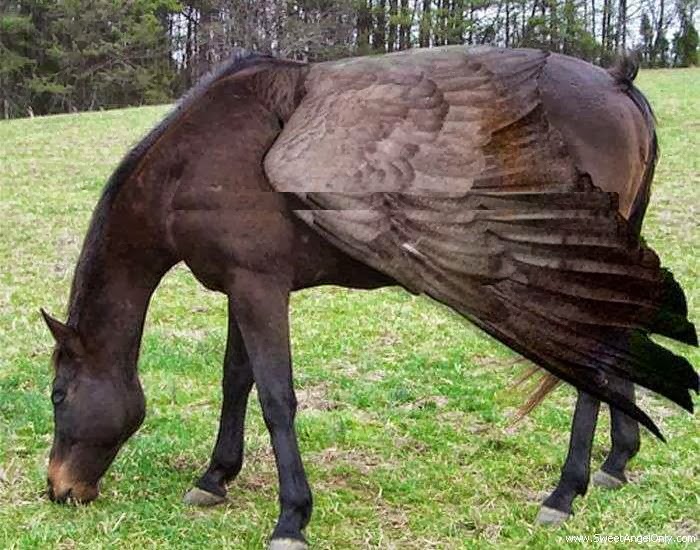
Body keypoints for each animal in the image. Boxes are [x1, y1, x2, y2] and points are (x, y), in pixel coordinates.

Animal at [41, 46, 697, 549]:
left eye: (56, 395)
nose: (59, 489)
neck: (194, 162)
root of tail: (616, 82)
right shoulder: (241, 287)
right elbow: (236, 380)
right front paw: (215, 477)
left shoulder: (259, 287)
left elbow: (276, 398)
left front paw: (291, 518)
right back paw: (615, 462)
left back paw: (566, 489)